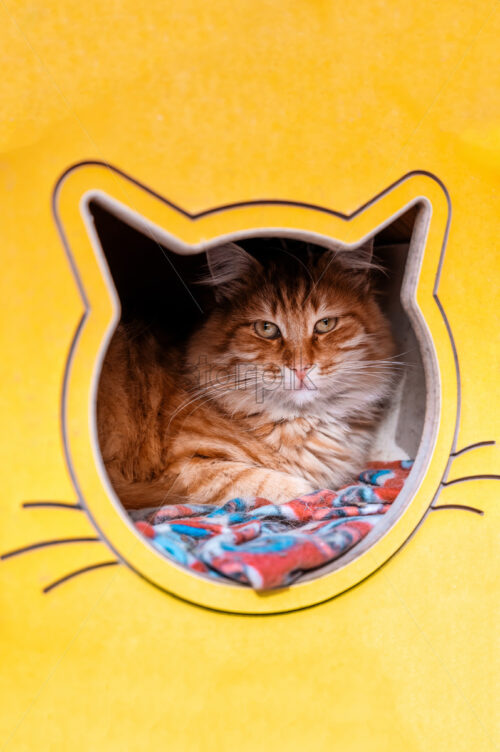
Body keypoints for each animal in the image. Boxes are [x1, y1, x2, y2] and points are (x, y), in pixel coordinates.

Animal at [96, 241, 394, 512]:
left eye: (325, 324)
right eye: (266, 329)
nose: (300, 368)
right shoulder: (182, 466)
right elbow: (269, 482)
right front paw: (320, 493)